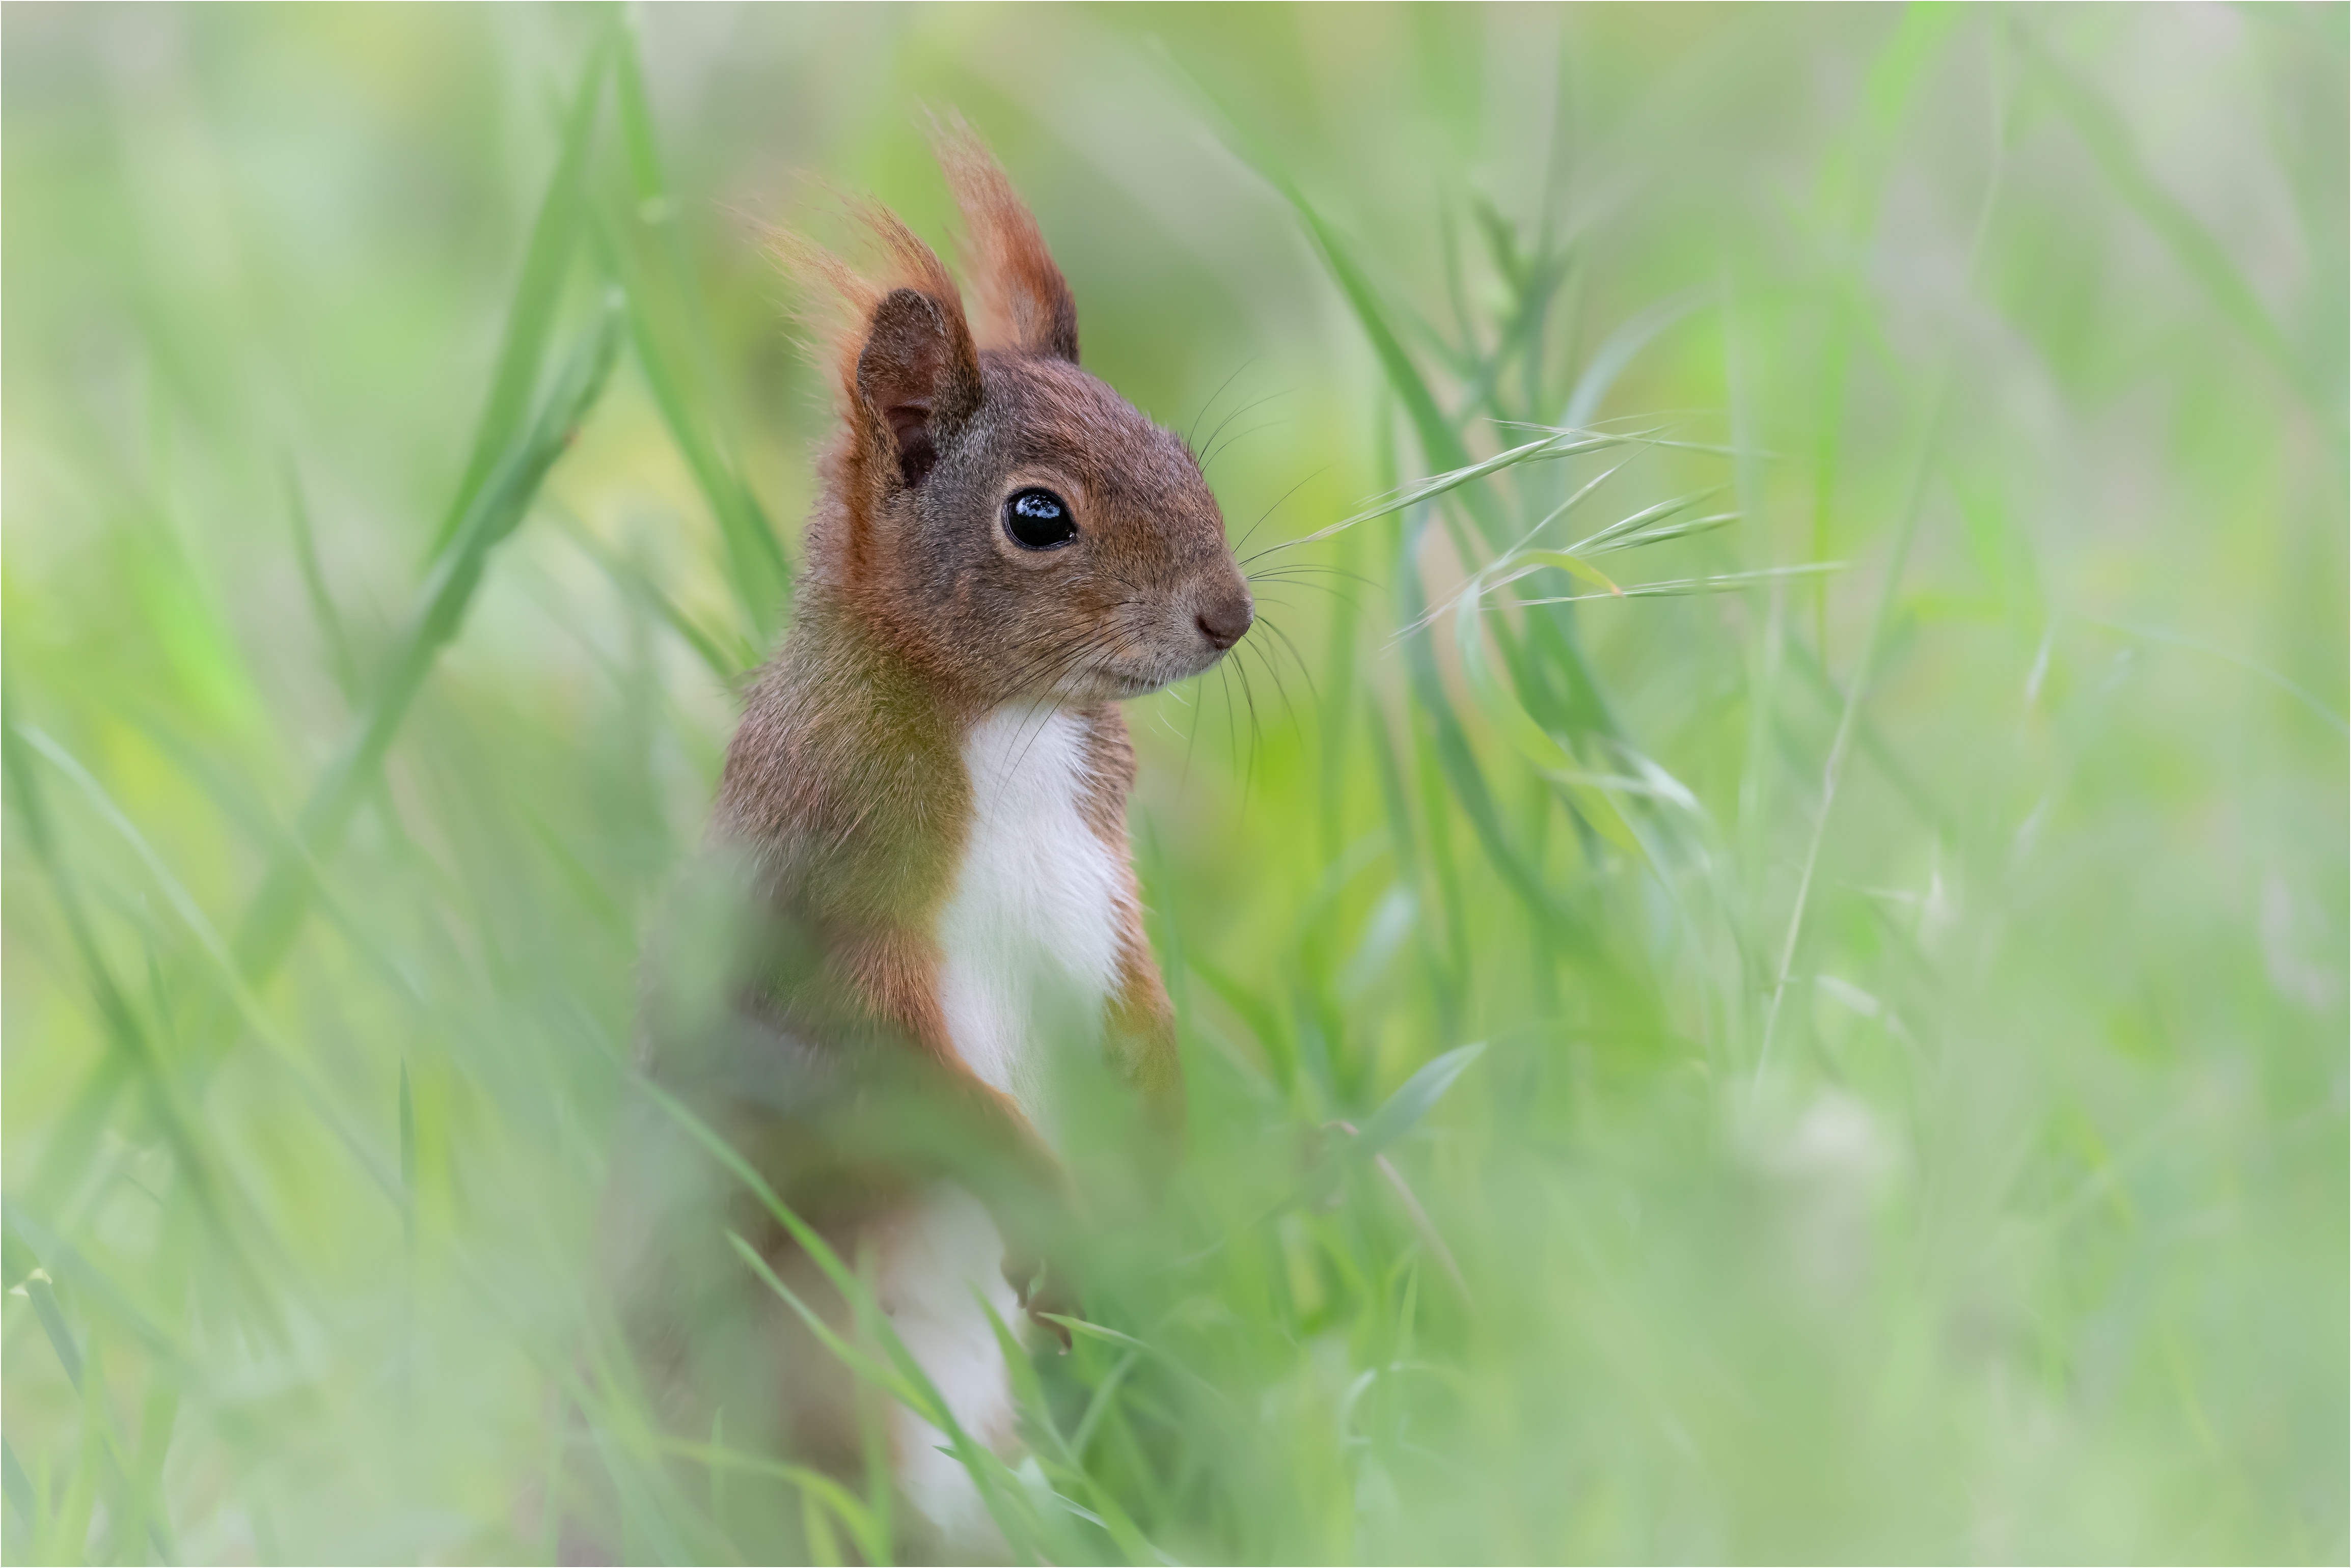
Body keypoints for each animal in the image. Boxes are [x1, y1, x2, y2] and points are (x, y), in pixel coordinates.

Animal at [606, 125, 1260, 1561]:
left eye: (1180, 450)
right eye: (1037, 516)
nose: (1229, 615)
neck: (1008, 724)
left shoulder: (1101, 880)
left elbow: (1140, 1002)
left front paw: (1164, 1138)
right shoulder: (815, 913)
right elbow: (885, 1078)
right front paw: (1043, 1202)